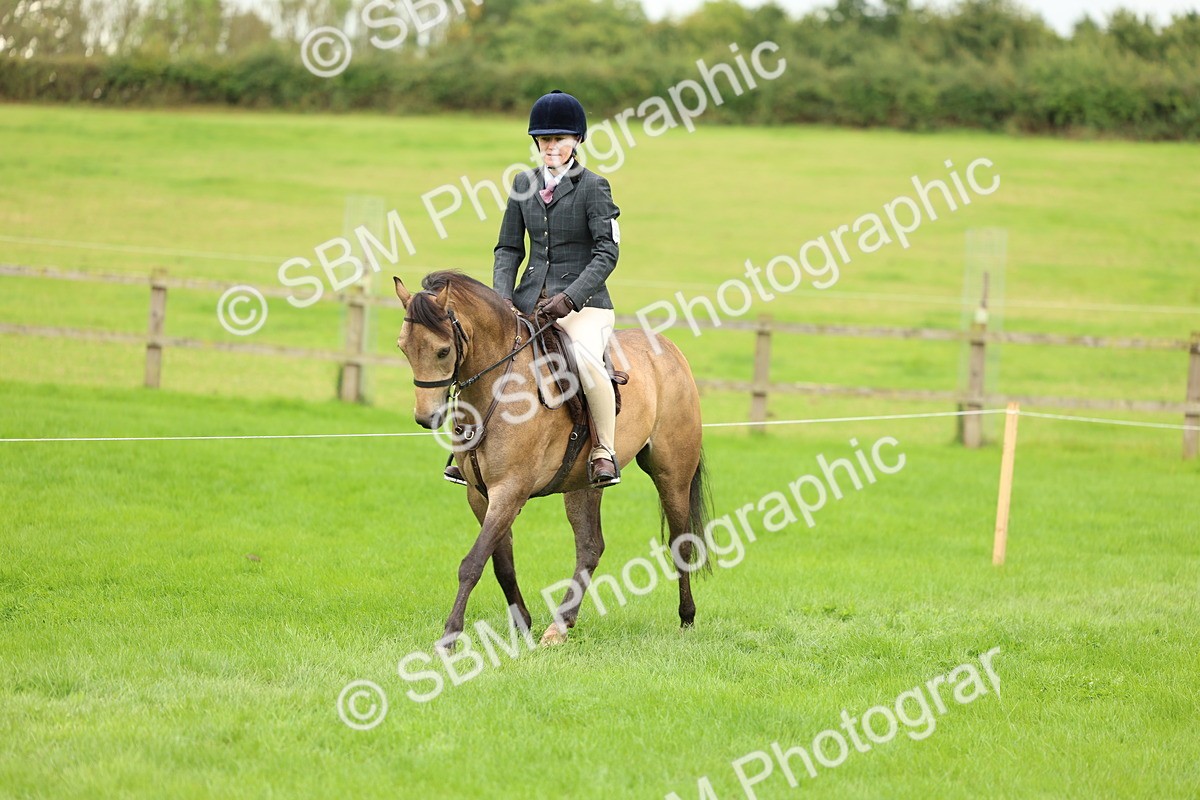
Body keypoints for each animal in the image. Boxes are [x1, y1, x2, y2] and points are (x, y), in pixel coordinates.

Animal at [393, 270, 710, 650]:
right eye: (403, 347)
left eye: (442, 351)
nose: (426, 418)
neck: (499, 386)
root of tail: (670, 350)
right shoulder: (479, 493)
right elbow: (501, 563)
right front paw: (523, 625)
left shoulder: (510, 490)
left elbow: (472, 563)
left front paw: (449, 637)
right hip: (583, 485)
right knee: (590, 547)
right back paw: (560, 625)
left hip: (671, 474)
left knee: (681, 542)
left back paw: (687, 619)